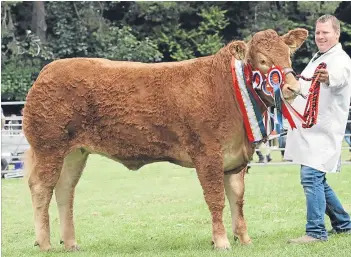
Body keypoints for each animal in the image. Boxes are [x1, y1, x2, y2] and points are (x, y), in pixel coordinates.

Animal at [23, 28, 308, 250]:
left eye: (287, 54)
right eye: (262, 60)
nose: (293, 88)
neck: (227, 89)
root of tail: (48, 70)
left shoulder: (235, 157)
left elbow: (237, 199)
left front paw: (245, 239)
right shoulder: (207, 154)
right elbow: (216, 199)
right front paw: (222, 241)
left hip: (75, 152)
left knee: (64, 189)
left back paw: (70, 243)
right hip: (49, 146)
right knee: (41, 188)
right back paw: (45, 243)